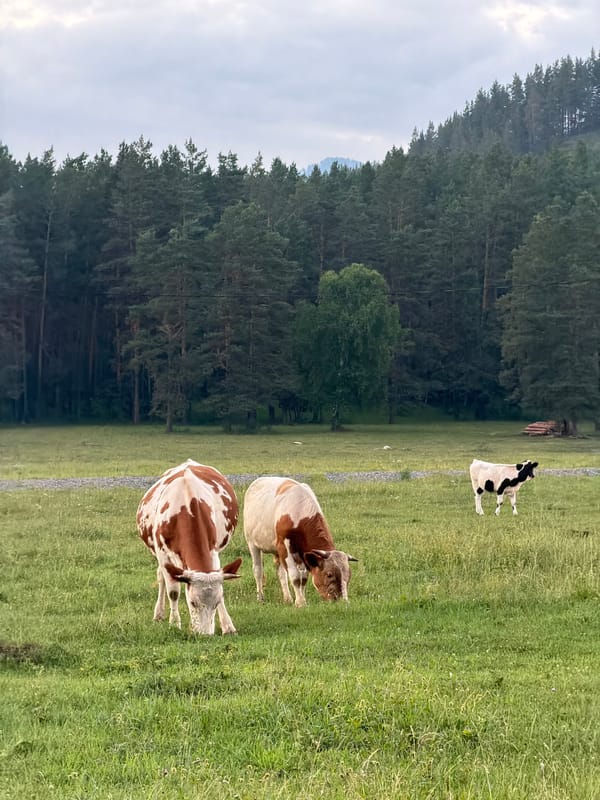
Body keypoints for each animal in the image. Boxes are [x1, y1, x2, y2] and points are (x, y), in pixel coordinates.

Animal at [136, 459, 242, 635]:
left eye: (216, 603)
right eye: (192, 602)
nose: (205, 635)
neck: (187, 505)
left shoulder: (213, 552)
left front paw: (227, 626)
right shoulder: (163, 555)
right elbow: (173, 592)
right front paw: (174, 624)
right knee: (161, 577)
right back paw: (159, 614)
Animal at [243, 476, 357, 607]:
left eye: (349, 575)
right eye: (329, 574)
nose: (343, 601)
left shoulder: (302, 553)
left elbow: (303, 578)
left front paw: (302, 599)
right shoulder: (284, 547)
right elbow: (296, 577)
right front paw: (300, 603)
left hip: (276, 549)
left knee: (281, 572)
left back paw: (287, 598)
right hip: (252, 543)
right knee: (258, 570)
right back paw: (260, 597)